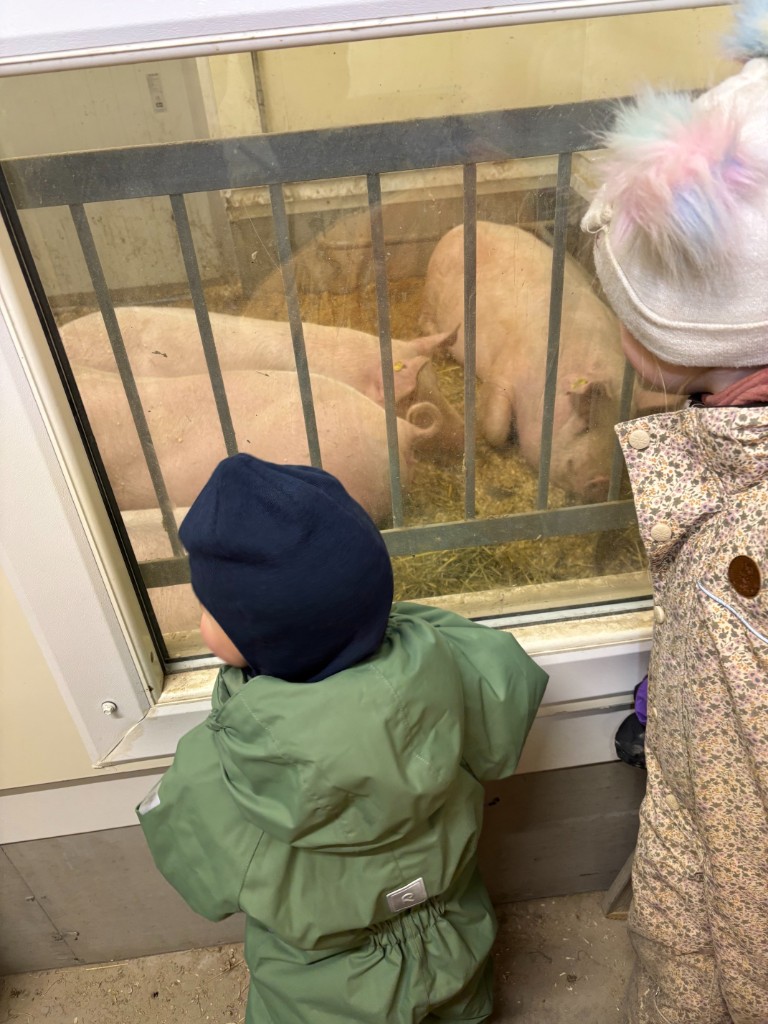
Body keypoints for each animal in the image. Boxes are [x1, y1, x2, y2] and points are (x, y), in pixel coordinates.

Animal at [420, 221, 662, 503]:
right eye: (584, 426)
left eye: (618, 437)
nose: (601, 481)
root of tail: (460, 227)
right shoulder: (505, 372)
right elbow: (495, 428)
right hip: (432, 289)